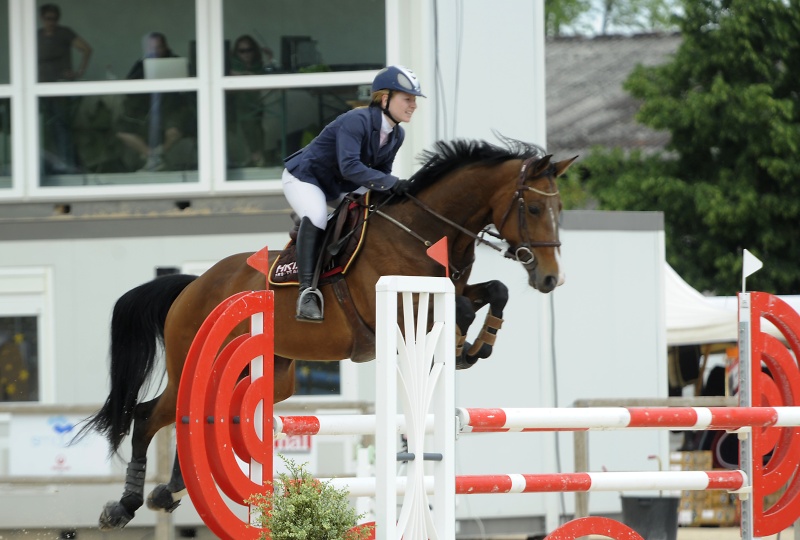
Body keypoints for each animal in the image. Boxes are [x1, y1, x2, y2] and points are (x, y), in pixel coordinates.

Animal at [81, 135, 580, 528]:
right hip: (197, 360)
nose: (550, 278)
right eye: (535, 207)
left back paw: (169, 490)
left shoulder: (454, 287)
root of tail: (194, 285)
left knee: (201, 418)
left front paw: (479, 345)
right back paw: (124, 506)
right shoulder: (392, 308)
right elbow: (457, 307)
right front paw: (462, 346)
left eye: (559, 208)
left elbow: (494, 291)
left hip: (270, 374)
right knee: (148, 415)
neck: (420, 231)